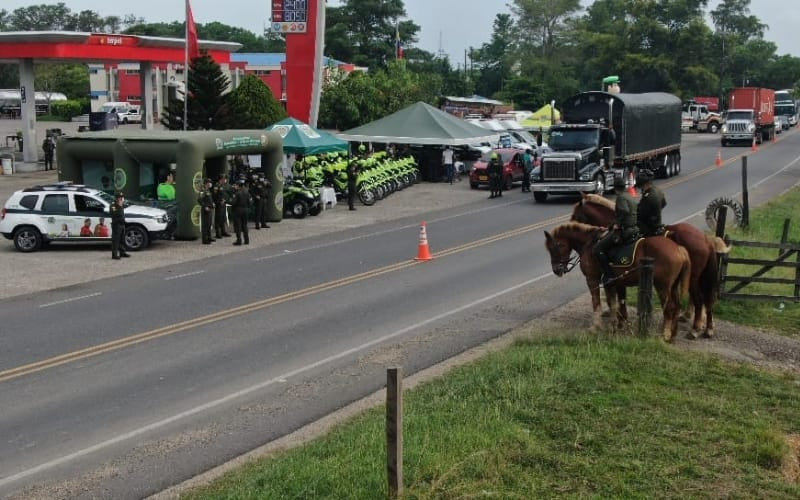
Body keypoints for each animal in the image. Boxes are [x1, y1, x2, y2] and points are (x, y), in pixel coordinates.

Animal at [548, 222, 692, 342]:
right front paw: (618, 324)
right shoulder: (616, 282)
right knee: (677, 306)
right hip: (673, 286)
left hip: (662, 286)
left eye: (554, 247)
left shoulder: (592, 279)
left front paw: (597, 326)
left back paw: (665, 334)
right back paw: (673, 333)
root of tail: (679, 249)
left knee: (669, 307)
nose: (556, 270)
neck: (589, 245)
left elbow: (598, 302)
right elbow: (616, 302)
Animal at [568, 193, 732, 338]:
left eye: (576, 215)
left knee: (699, 299)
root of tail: (705, 239)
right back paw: (706, 327)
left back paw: (695, 328)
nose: (571, 224)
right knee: (707, 299)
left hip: (692, 277)